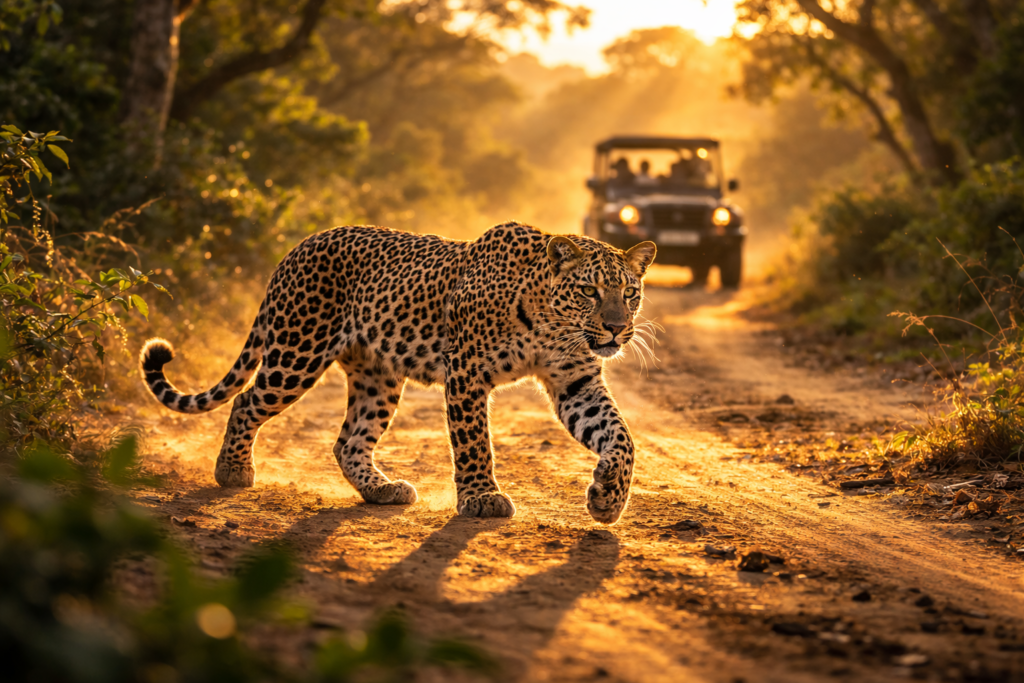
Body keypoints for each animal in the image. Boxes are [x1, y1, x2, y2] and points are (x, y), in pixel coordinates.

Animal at [140, 222, 656, 524]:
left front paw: (608, 498)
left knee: (348, 441)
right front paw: (481, 498)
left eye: (630, 293)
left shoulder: (576, 382)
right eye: (589, 291)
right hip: (297, 350)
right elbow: (474, 442)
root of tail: (298, 247)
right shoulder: (466, 371)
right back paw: (232, 471)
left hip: (379, 377)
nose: (617, 328)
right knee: (248, 400)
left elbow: (621, 436)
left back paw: (382, 489)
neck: (552, 323)